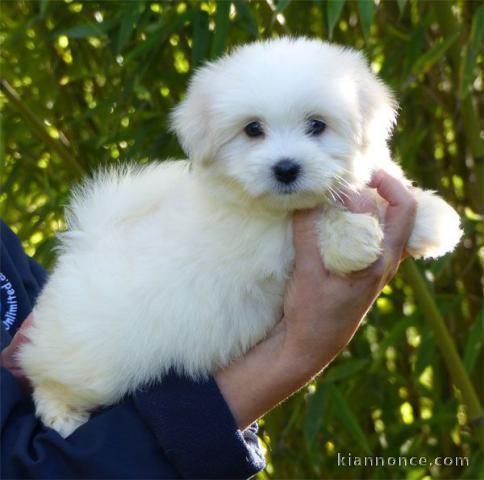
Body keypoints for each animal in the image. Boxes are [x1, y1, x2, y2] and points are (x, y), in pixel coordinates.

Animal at [18, 37, 462, 436]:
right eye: (253, 130)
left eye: (317, 125)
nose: (286, 168)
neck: (276, 205)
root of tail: (86, 244)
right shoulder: (269, 242)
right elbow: (321, 222)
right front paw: (353, 241)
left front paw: (433, 217)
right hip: (92, 363)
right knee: (45, 376)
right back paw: (61, 416)